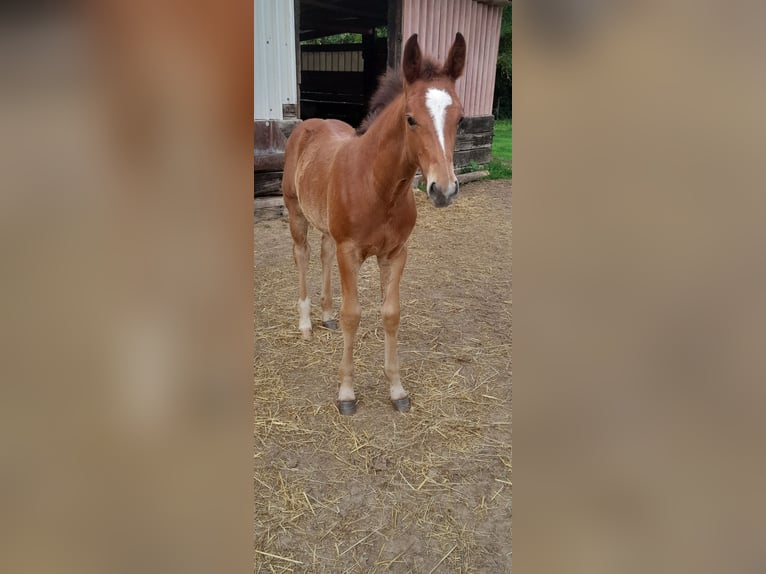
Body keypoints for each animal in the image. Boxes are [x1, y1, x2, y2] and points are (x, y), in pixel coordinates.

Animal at [281, 32, 466, 415]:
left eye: (461, 119)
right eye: (410, 119)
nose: (443, 189)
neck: (378, 187)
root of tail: (310, 123)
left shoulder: (395, 253)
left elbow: (391, 314)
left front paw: (397, 390)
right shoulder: (350, 251)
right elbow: (353, 315)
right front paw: (346, 393)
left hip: (327, 227)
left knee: (323, 253)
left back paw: (325, 314)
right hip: (296, 212)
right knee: (302, 255)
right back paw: (306, 323)